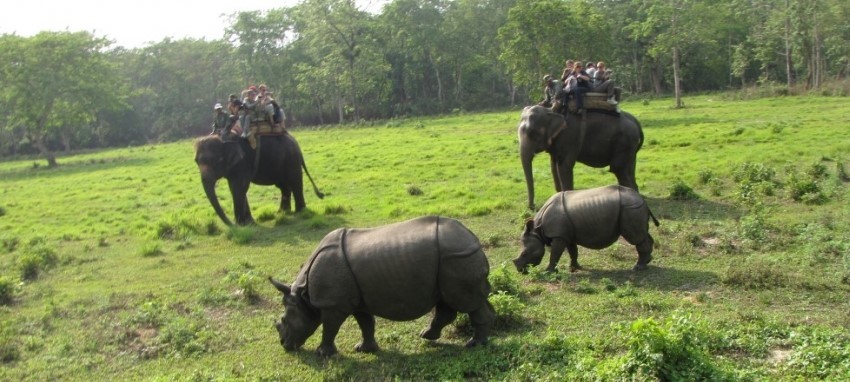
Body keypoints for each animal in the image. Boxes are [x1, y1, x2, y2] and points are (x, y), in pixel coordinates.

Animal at [194, 133, 322, 225]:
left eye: (217, 161)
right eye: (196, 161)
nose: (232, 224)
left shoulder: (243, 163)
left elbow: (238, 188)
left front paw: (242, 224)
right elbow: (239, 189)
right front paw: (249, 222)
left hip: (292, 160)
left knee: (295, 183)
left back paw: (300, 212)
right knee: (284, 186)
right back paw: (283, 212)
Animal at [264, 216, 490, 356]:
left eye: (284, 320)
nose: (284, 344)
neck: (305, 295)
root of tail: (473, 238)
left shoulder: (333, 304)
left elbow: (330, 327)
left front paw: (323, 354)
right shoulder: (358, 300)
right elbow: (366, 323)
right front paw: (364, 349)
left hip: (458, 256)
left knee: (467, 303)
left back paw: (474, 344)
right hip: (450, 261)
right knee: (448, 302)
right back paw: (428, 336)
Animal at [510, 184, 656, 274]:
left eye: (525, 254)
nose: (520, 270)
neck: (537, 230)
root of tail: (642, 200)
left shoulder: (559, 236)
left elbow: (555, 254)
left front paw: (548, 271)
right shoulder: (567, 235)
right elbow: (573, 251)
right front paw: (574, 268)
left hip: (630, 209)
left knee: (636, 238)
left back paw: (638, 267)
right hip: (632, 209)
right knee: (644, 235)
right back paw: (647, 262)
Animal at [516, 105, 644, 209]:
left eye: (533, 133)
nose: (532, 207)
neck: (551, 111)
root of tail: (636, 121)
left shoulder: (569, 138)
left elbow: (564, 167)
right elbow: (553, 166)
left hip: (623, 142)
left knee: (618, 168)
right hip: (630, 147)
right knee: (630, 168)